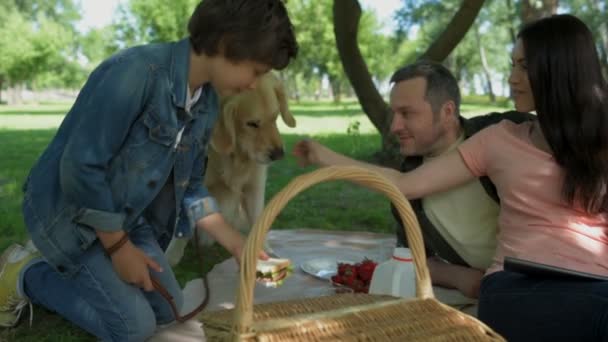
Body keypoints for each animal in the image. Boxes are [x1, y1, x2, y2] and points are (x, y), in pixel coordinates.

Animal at [165, 72, 296, 266]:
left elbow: (258, 220)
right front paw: (172, 256)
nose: (279, 154)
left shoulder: (254, 187)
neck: (235, 155)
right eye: (252, 124)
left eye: (275, 117)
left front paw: (265, 251)